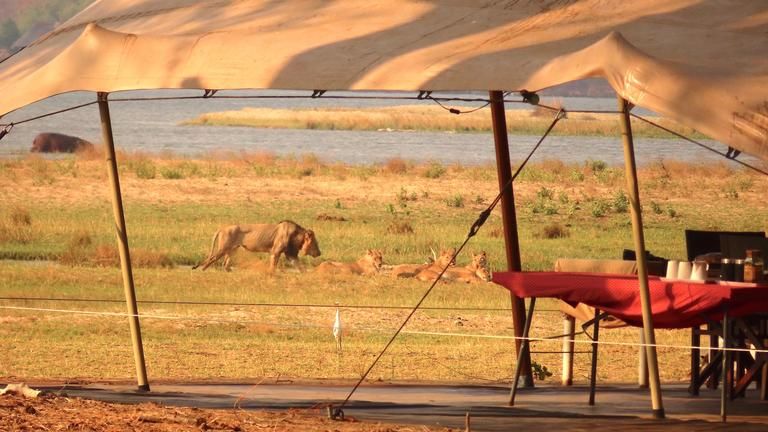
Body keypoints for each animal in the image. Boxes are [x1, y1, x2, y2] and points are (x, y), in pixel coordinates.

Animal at [192, 220, 320, 272]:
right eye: (315, 243)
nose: (320, 253)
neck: (297, 236)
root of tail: (222, 228)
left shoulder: (290, 254)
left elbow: (300, 266)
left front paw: (307, 275)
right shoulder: (276, 251)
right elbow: (273, 266)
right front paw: (271, 275)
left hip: (232, 249)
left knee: (225, 264)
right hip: (223, 248)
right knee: (212, 259)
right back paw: (203, 271)